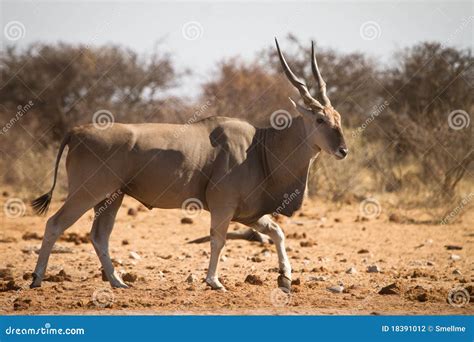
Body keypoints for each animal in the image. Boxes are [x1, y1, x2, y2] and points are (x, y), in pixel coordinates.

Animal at [30, 38, 348, 292]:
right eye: (320, 119)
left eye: (339, 118)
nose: (343, 150)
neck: (260, 147)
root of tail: (77, 131)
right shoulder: (223, 207)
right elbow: (218, 239)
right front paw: (214, 281)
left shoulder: (248, 214)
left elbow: (276, 233)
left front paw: (285, 278)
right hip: (87, 193)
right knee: (55, 224)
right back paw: (37, 278)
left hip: (111, 197)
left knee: (99, 236)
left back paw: (117, 281)